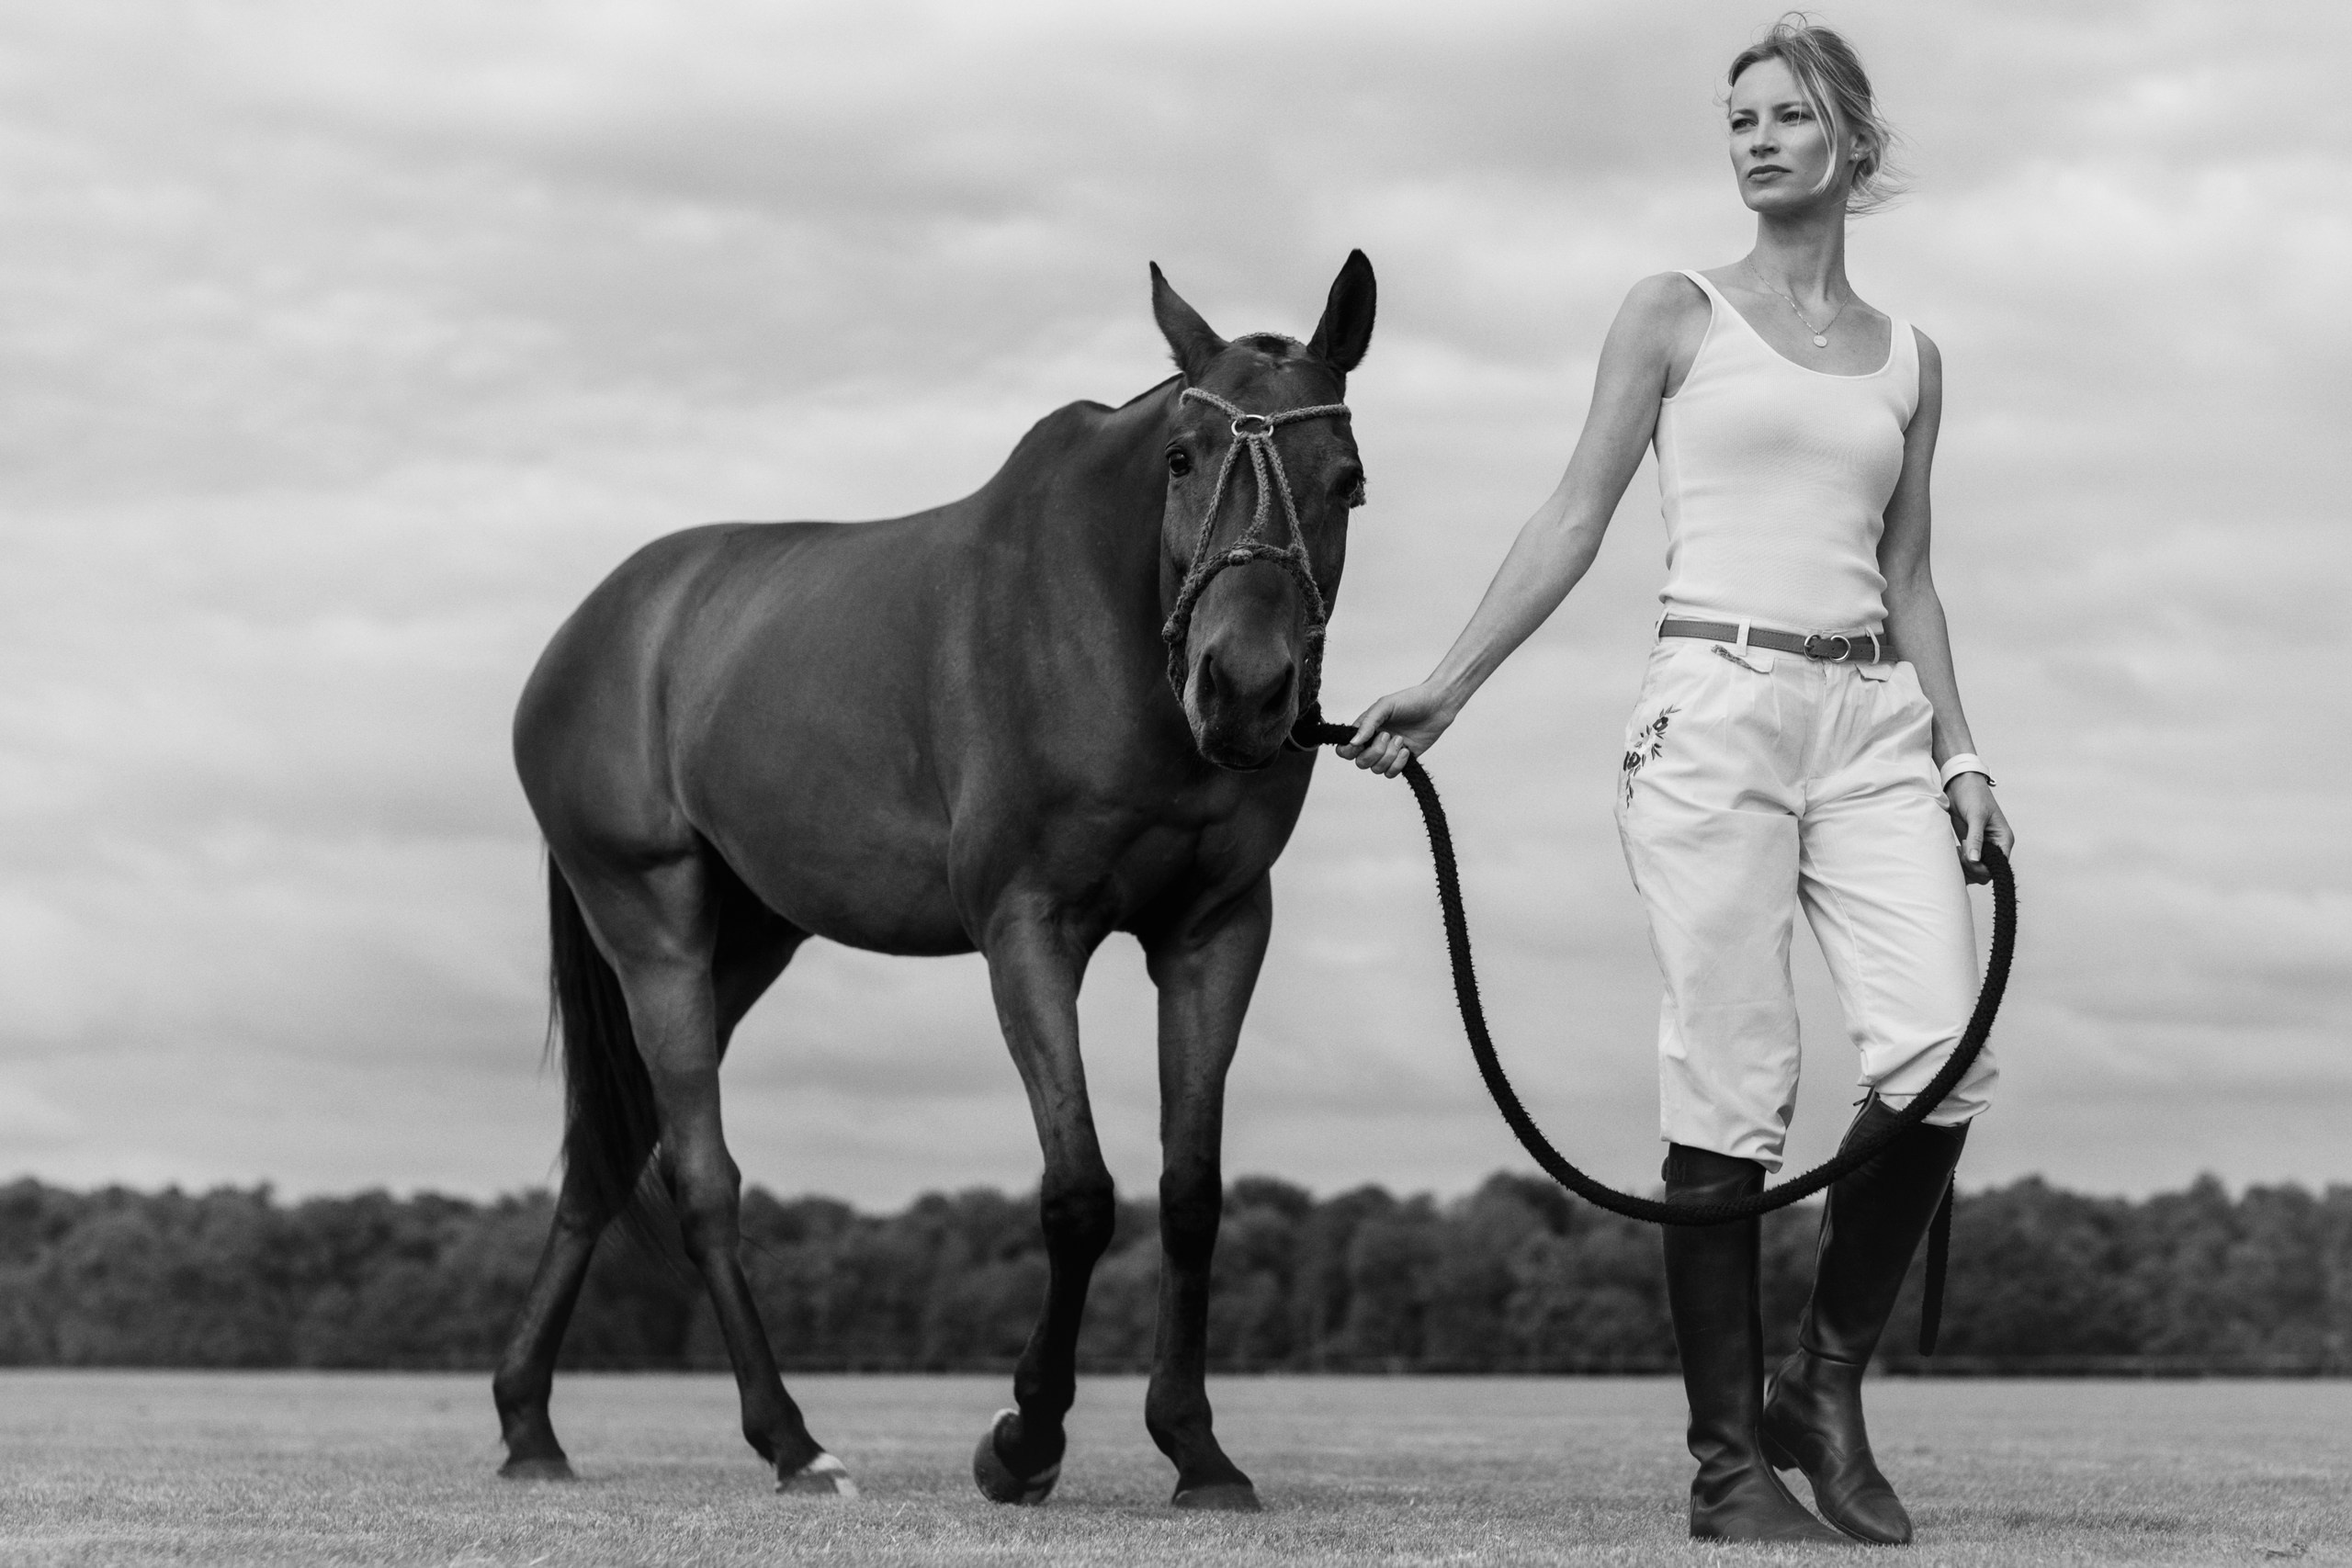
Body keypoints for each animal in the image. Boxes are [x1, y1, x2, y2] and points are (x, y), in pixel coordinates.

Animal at [491, 251, 1377, 1510]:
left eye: (1347, 481)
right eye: (1181, 458)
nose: (1244, 689)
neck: (1106, 634)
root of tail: (593, 631)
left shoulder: (1213, 932)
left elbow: (1192, 1195)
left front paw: (1197, 1450)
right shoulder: (1029, 930)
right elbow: (1078, 1192)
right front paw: (1023, 1440)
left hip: (743, 944)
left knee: (603, 1164)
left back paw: (530, 1424)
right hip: (652, 925)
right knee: (700, 1178)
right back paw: (792, 1442)